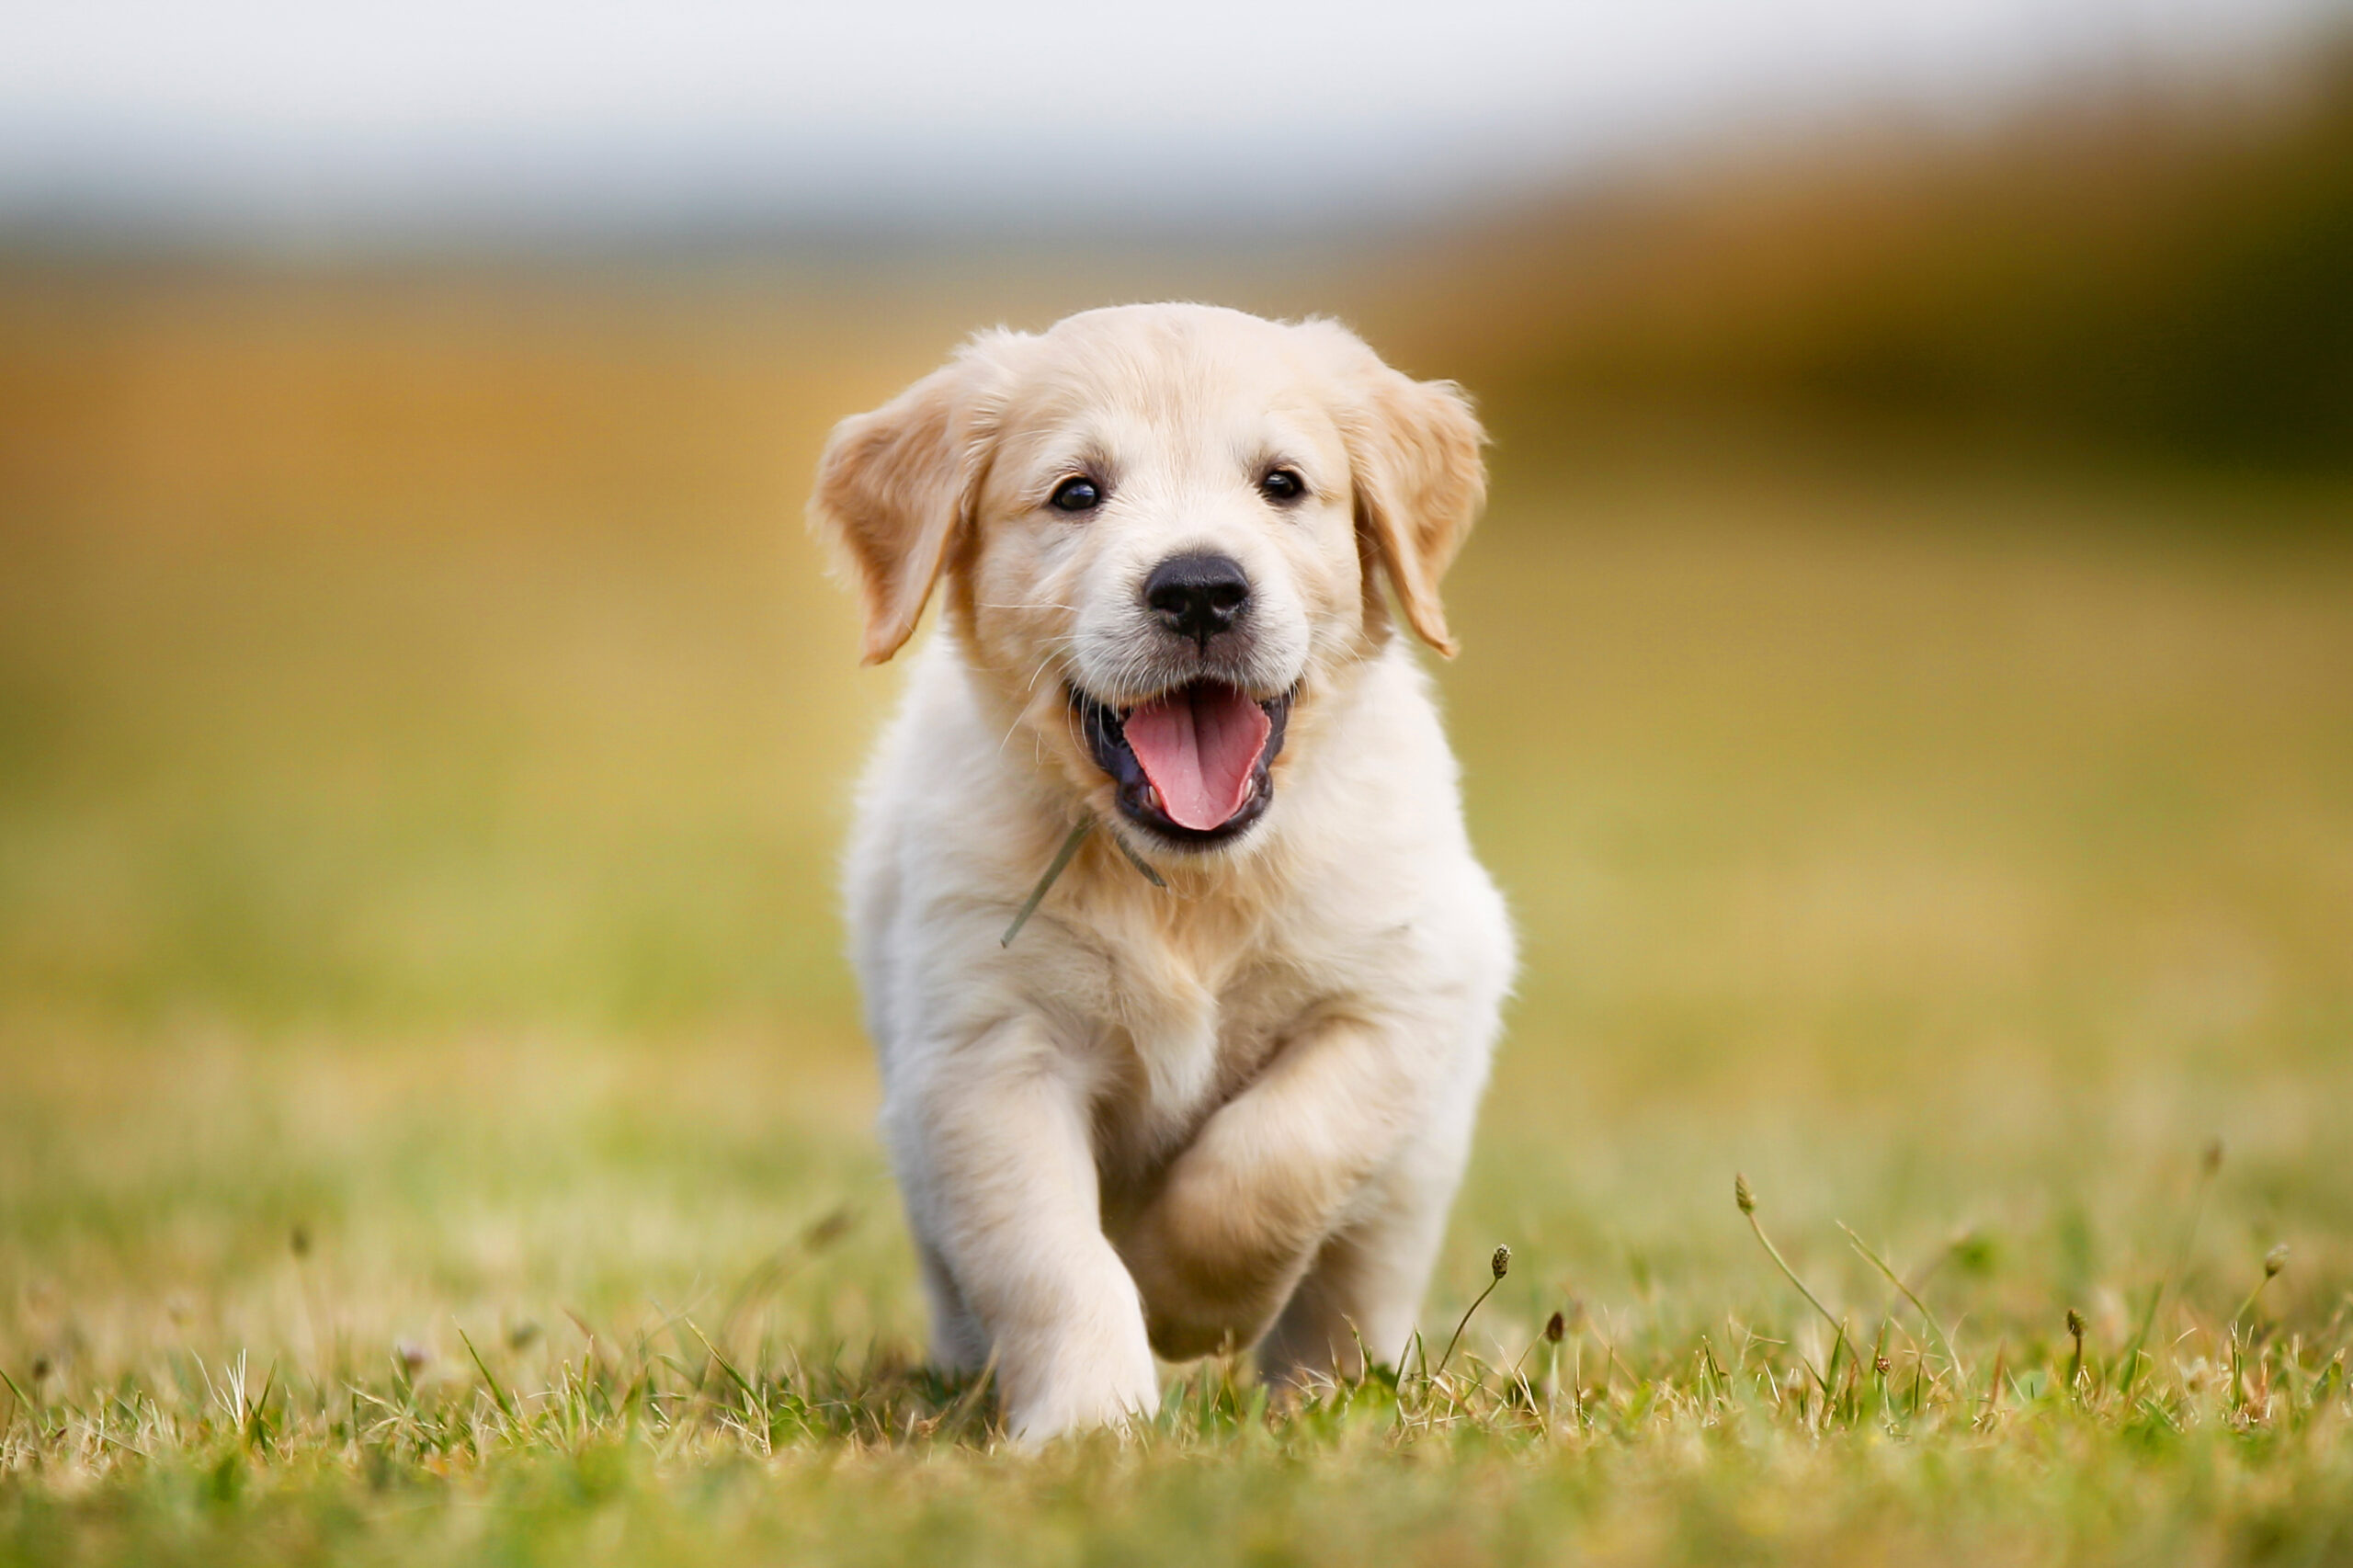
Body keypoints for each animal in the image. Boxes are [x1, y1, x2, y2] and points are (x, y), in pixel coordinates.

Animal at [809, 299, 1506, 1431]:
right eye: (1077, 493)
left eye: (1282, 483)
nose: (1200, 589)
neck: (1190, 882)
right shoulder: (985, 1057)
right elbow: (1052, 1258)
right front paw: (1092, 1423)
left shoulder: (1402, 996)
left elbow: (1275, 1156)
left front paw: (1185, 1299)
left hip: (1415, 1171)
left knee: (1355, 1280)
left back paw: (1329, 1393)